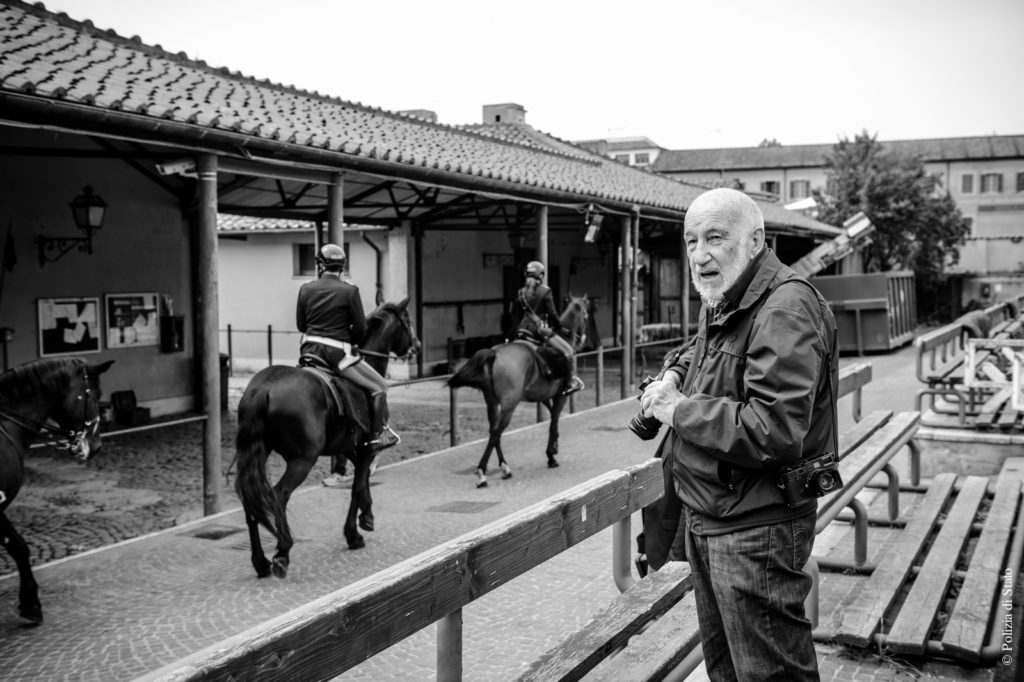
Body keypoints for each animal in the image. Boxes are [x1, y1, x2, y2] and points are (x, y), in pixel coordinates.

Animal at [234, 294, 417, 577]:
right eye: (407, 321)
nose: (416, 347)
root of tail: (262, 387)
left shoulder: (351, 447)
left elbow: (363, 481)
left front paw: (367, 517)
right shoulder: (365, 447)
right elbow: (357, 486)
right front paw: (353, 534)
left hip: (258, 454)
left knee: (250, 501)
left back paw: (260, 562)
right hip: (302, 460)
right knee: (278, 495)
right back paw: (283, 551)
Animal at [446, 294, 585, 485]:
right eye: (585, 314)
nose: (582, 338)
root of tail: (494, 354)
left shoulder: (543, 396)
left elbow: (552, 419)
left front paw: (554, 447)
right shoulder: (560, 396)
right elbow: (553, 421)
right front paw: (551, 456)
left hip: (491, 402)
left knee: (493, 431)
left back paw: (501, 467)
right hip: (509, 404)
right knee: (496, 432)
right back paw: (486, 471)